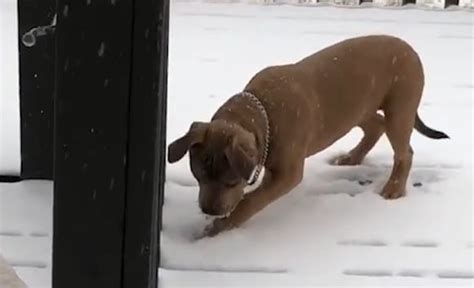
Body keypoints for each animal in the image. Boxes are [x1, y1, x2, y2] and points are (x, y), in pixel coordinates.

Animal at [167, 35, 448, 237]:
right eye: (199, 177)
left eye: (231, 182)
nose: (209, 210)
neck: (263, 111)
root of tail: (410, 48)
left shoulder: (287, 174)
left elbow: (251, 202)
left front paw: (220, 227)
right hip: (356, 107)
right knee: (376, 126)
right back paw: (351, 158)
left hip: (399, 108)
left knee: (404, 152)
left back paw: (394, 188)